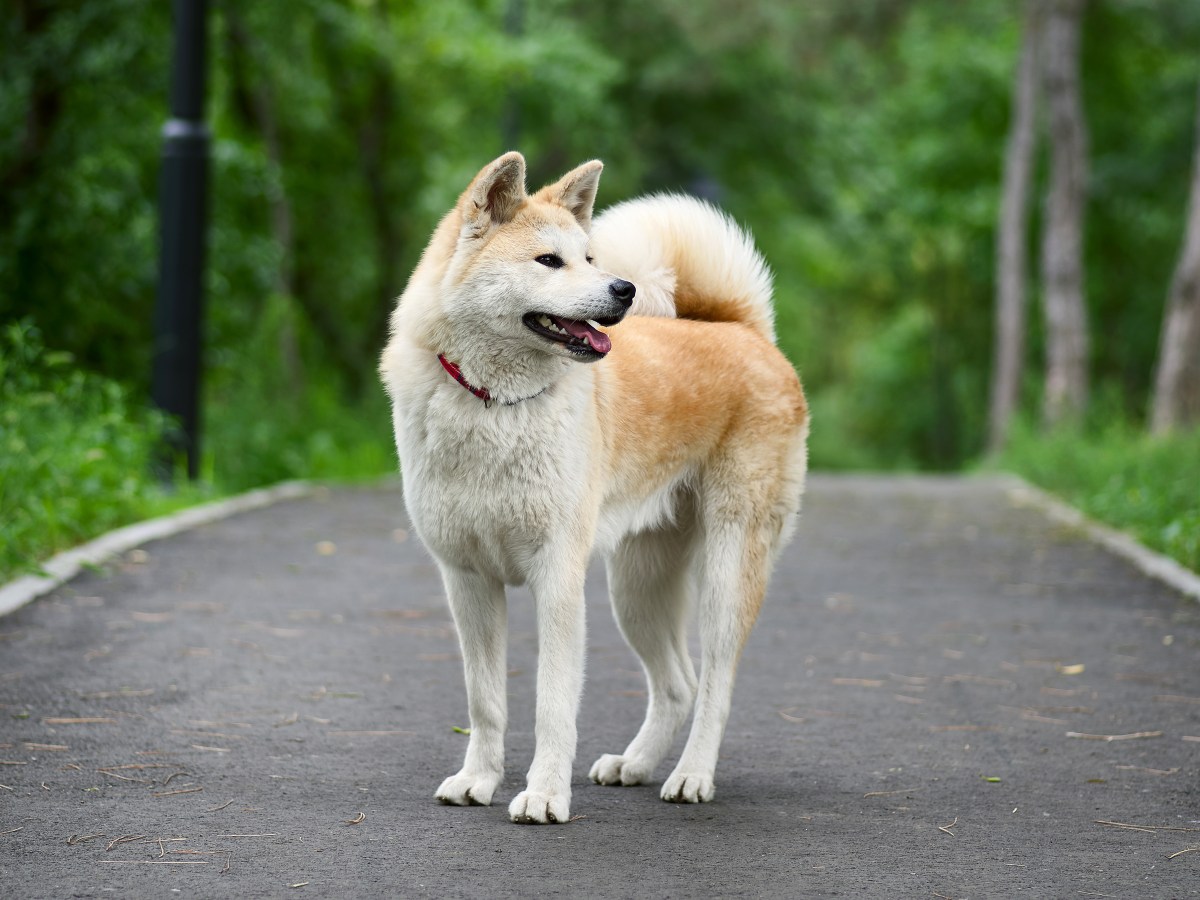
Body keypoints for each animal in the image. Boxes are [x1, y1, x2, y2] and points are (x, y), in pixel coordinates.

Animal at [379, 153, 811, 825]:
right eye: (548, 260)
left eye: (587, 256)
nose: (624, 290)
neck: (495, 405)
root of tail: (746, 332)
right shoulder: (467, 582)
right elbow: (486, 702)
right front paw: (478, 780)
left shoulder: (558, 578)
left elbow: (553, 705)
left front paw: (544, 796)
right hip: (634, 587)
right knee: (678, 685)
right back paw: (633, 764)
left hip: (726, 572)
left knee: (716, 685)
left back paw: (691, 776)